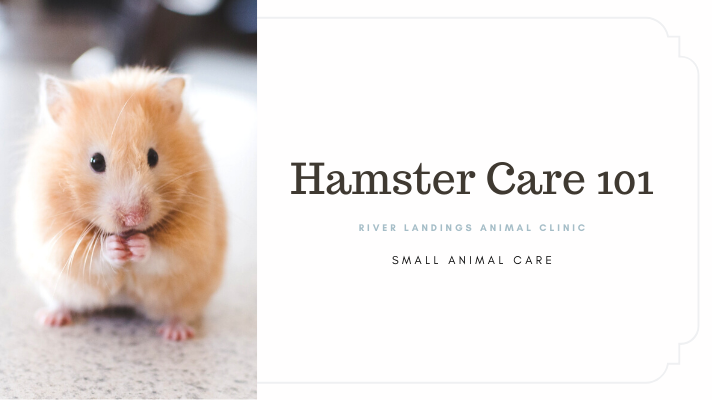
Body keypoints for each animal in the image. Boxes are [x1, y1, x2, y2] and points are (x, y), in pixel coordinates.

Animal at [14, 67, 227, 341]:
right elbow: (90, 255)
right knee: (60, 302)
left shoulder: (193, 241)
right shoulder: (54, 238)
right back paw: (50, 318)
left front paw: (138, 245)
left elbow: (165, 255)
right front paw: (115, 247)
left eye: (153, 157)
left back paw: (175, 333)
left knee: (179, 313)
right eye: (96, 161)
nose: (133, 218)